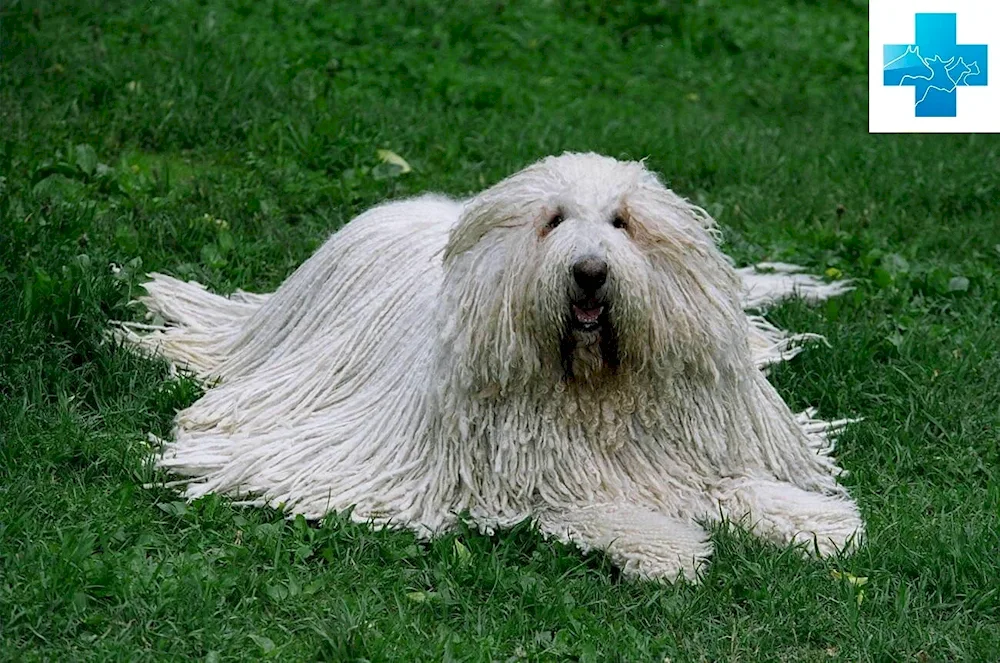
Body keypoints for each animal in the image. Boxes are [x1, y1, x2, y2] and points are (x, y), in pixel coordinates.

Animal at [119, 152, 868, 580]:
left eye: (622, 222)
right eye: (554, 219)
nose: (590, 272)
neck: (594, 389)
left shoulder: (682, 454)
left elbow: (741, 485)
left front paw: (820, 522)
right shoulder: (536, 483)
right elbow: (607, 511)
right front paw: (670, 551)